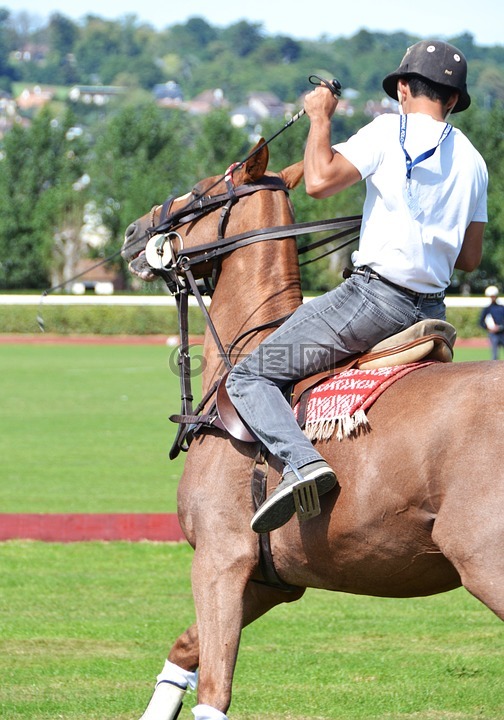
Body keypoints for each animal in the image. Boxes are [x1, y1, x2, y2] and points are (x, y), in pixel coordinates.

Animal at [122, 138, 504, 716]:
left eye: (201, 192)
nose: (132, 232)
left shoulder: (219, 560)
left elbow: (213, 691)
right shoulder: (269, 579)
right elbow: (185, 651)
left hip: (486, 561)